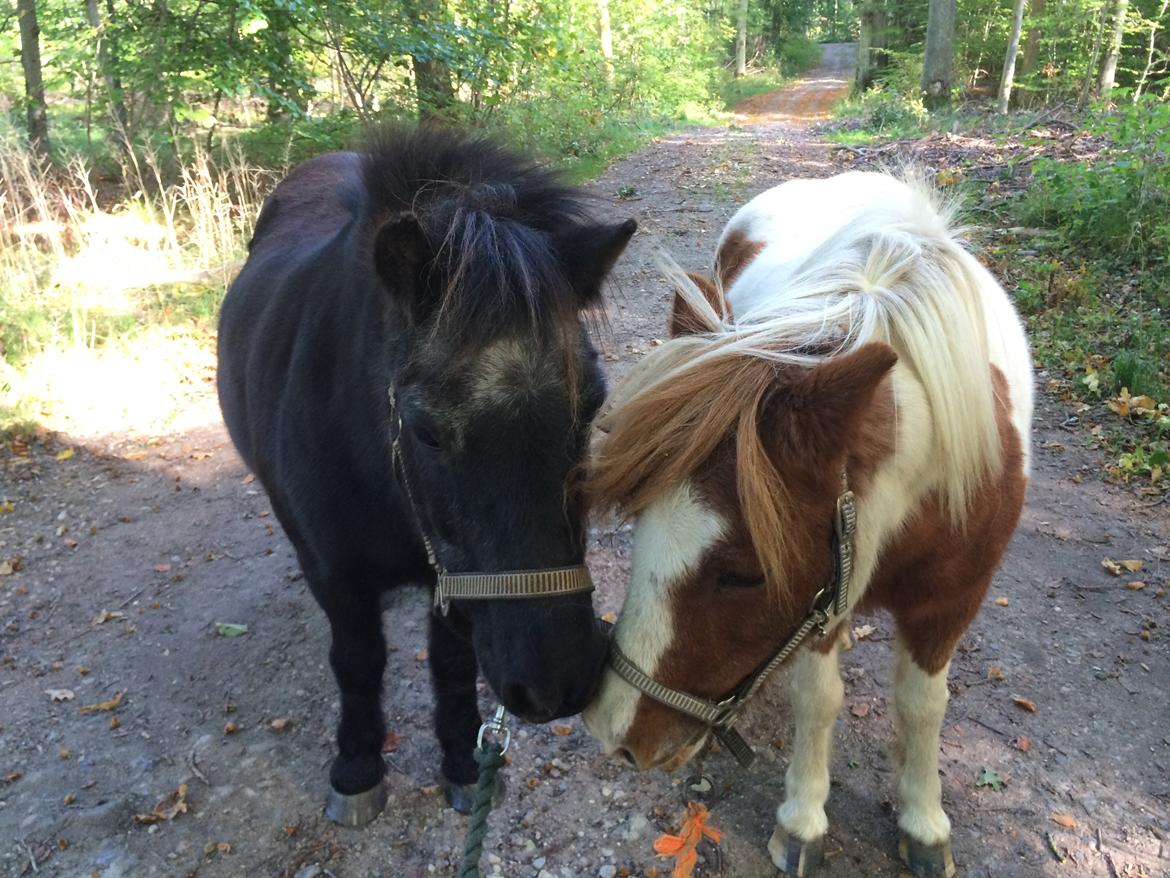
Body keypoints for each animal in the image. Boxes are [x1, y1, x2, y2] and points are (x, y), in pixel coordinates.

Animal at [219, 130, 641, 824]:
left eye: (591, 408)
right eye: (427, 432)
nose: (557, 682)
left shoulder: (454, 577)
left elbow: (452, 663)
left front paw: (464, 762)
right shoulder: (338, 577)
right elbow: (358, 661)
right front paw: (357, 769)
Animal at [585, 173, 1034, 878]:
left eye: (744, 574)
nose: (614, 732)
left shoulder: (951, 601)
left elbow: (924, 706)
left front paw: (924, 821)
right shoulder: (824, 599)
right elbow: (817, 700)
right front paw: (802, 819)